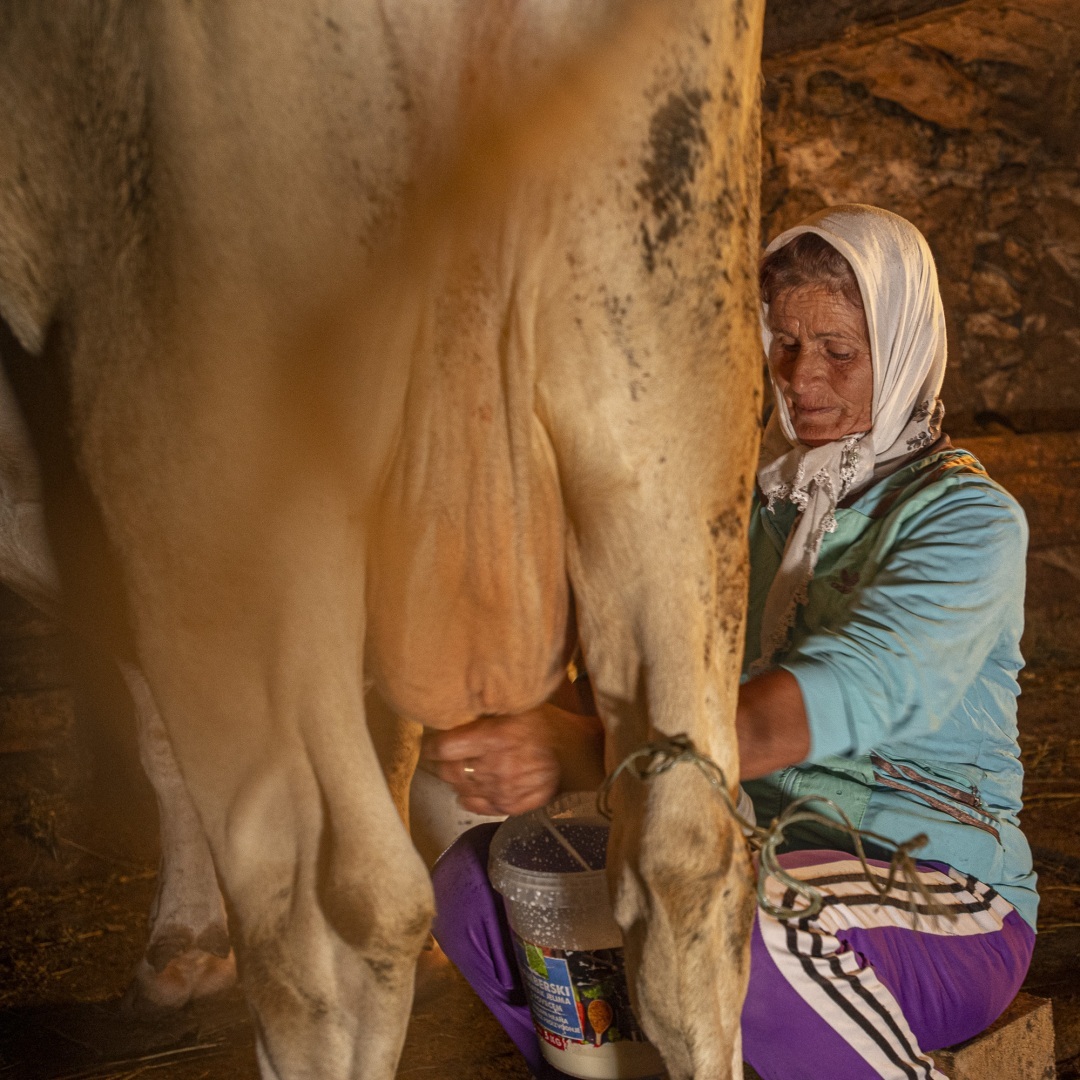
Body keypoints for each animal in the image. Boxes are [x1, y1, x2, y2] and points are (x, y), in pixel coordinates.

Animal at [0, 2, 760, 1080]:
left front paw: (180, 950)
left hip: (201, 407)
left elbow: (153, 731)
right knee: (684, 846)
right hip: (665, 365)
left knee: (324, 912)